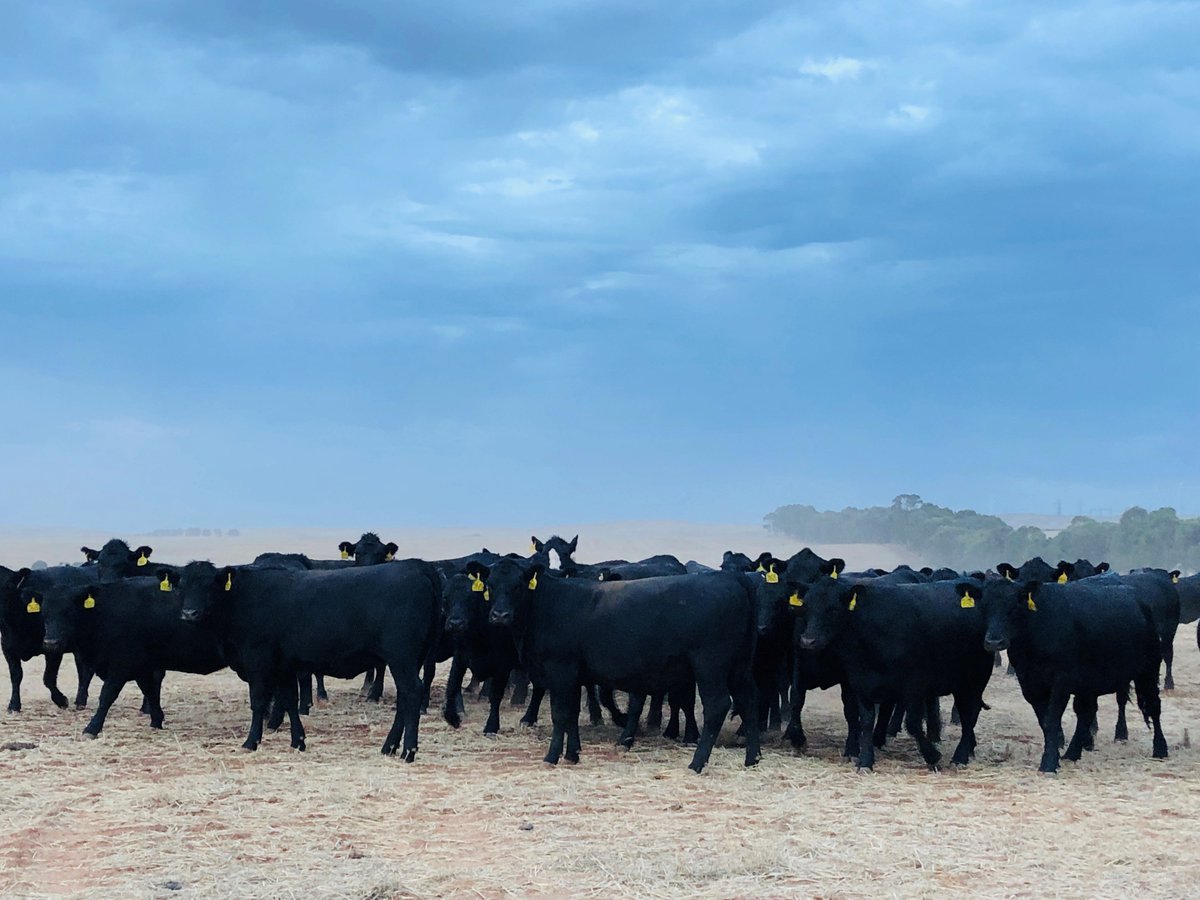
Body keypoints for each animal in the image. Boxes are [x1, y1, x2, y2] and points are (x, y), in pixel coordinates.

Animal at [177, 559, 440, 758]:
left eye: (209, 585)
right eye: (182, 586)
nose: (189, 613)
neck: (241, 599)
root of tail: (415, 565)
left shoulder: (258, 664)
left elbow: (259, 703)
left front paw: (251, 742)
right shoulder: (283, 666)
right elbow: (290, 701)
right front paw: (298, 741)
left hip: (402, 658)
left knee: (412, 693)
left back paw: (408, 751)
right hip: (410, 660)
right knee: (404, 698)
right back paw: (389, 747)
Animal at [478, 558, 759, 772]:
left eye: (517, 586)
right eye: (490, 585)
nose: (499, 615)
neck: (547, 605)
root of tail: (732, 579)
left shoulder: (560, 670)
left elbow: (561, 715)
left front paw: (552, 757)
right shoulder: (575, 675)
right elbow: (572, 714)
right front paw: (572, 754)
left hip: (710, 665)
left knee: (717, 706)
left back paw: (696, 764)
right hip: (740, 667)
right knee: (748, 702)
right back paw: (752, 759)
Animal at [980, 576, 1167, 772]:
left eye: (1014, 606)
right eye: (984, 606)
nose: (994, 642)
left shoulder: (1062, 678)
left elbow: (1052, 719)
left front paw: (1048, 763)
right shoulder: (1029, 682)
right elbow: (1044, 721)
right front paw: (1054, 757)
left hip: (1149, 670)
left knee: (1154, 706)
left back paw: (1160, 749)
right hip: (1089, 683)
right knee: (1086, 712)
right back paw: (1072, 753)